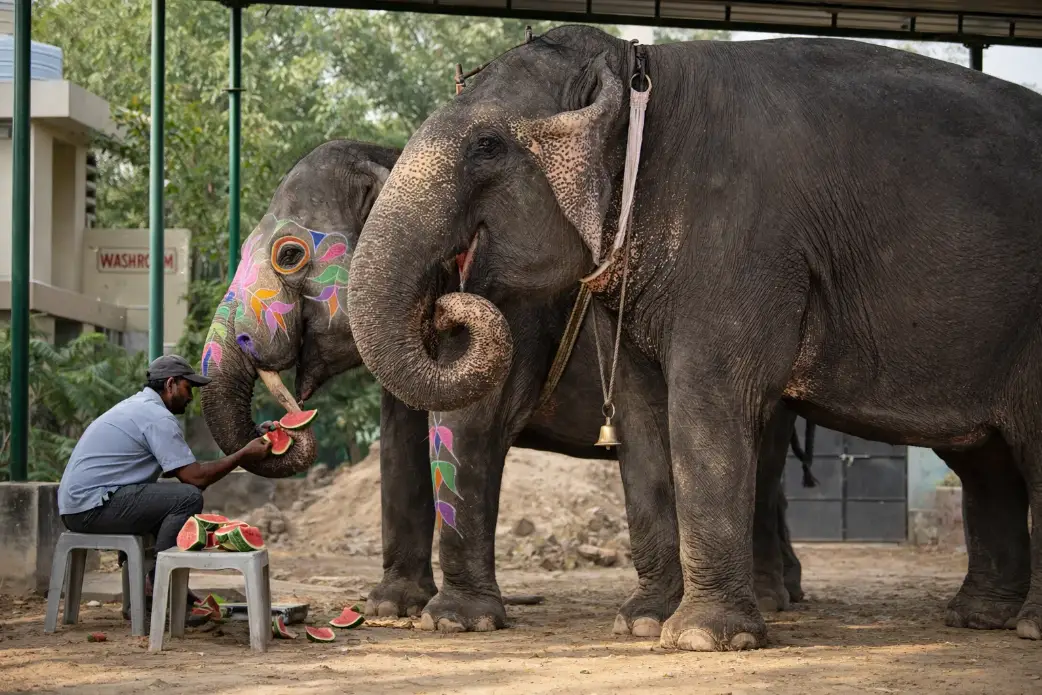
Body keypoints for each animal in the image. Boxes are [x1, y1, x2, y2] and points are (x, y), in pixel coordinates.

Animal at [199, 137, 814, 638]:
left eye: (289, 254)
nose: (277, 424)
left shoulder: (512, 300)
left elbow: (467, 425)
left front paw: (455, 622)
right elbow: (401, 442)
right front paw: (391, 608)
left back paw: (765, 600)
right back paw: (785, 594)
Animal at [346, 25, 1042, 652]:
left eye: (487, 146)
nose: (448, 305)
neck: (642, 74)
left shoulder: (741, 243)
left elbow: (706, 398)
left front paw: (703, 638)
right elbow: (640, 415)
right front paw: (641, 624)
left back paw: (1023, 627)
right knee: (987, 462)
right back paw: (980, 619)